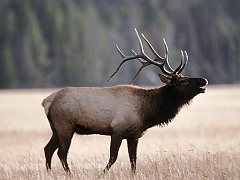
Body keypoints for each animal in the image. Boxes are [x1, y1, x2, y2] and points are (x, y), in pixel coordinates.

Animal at [42, 28, 207, 174]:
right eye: (183, 81)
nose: (203, 80)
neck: (146, 112)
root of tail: (47, 101)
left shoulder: (134, 135)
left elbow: (133, 161)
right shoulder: (117, 129)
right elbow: (113, 157)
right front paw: (101, 174)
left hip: (56, 128)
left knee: (48, 149)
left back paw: (49, 173)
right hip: (65, 126)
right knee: (61, 153)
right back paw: (69, 174)